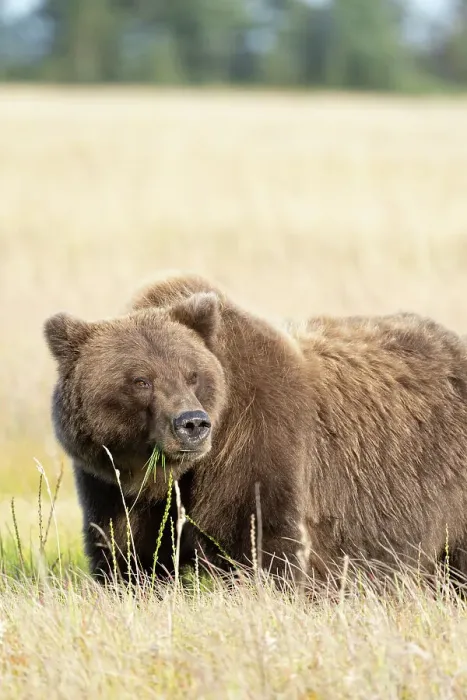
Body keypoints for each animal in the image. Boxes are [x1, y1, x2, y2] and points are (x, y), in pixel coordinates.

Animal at [44, 272, 467, 588]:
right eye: (141, 380)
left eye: (192, 374)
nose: (192, 424)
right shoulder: (112, 483)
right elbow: (126, 554)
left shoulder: (256, 442)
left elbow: (261, 540)